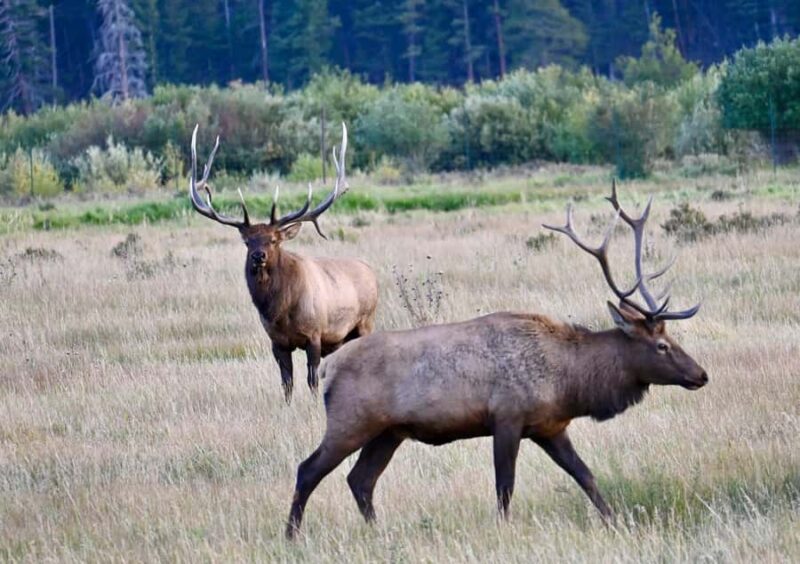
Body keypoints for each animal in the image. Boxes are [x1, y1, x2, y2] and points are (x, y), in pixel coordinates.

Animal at [189, 124, 378, 403]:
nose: (258, 256)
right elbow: (286, 383)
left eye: (274, 240)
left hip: (365, 322)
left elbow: (312, 381)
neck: (280, 311)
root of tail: (371, 272)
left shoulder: (314, 334)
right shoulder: (277, 342)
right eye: (247, 241)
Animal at [284, 182, 707, 539]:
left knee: (361, 480)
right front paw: (505, 529)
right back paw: (292, 535)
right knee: (308, 470)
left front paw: (614, 520)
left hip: (388, 432)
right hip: (350, 420)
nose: (701, 374)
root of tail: (329, 369)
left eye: (671, 339)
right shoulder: (507, 417)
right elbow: (505, 487)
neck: (568, 381)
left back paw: (378, 531)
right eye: (662, 345)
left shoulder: (550, 426)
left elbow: (586, 475)